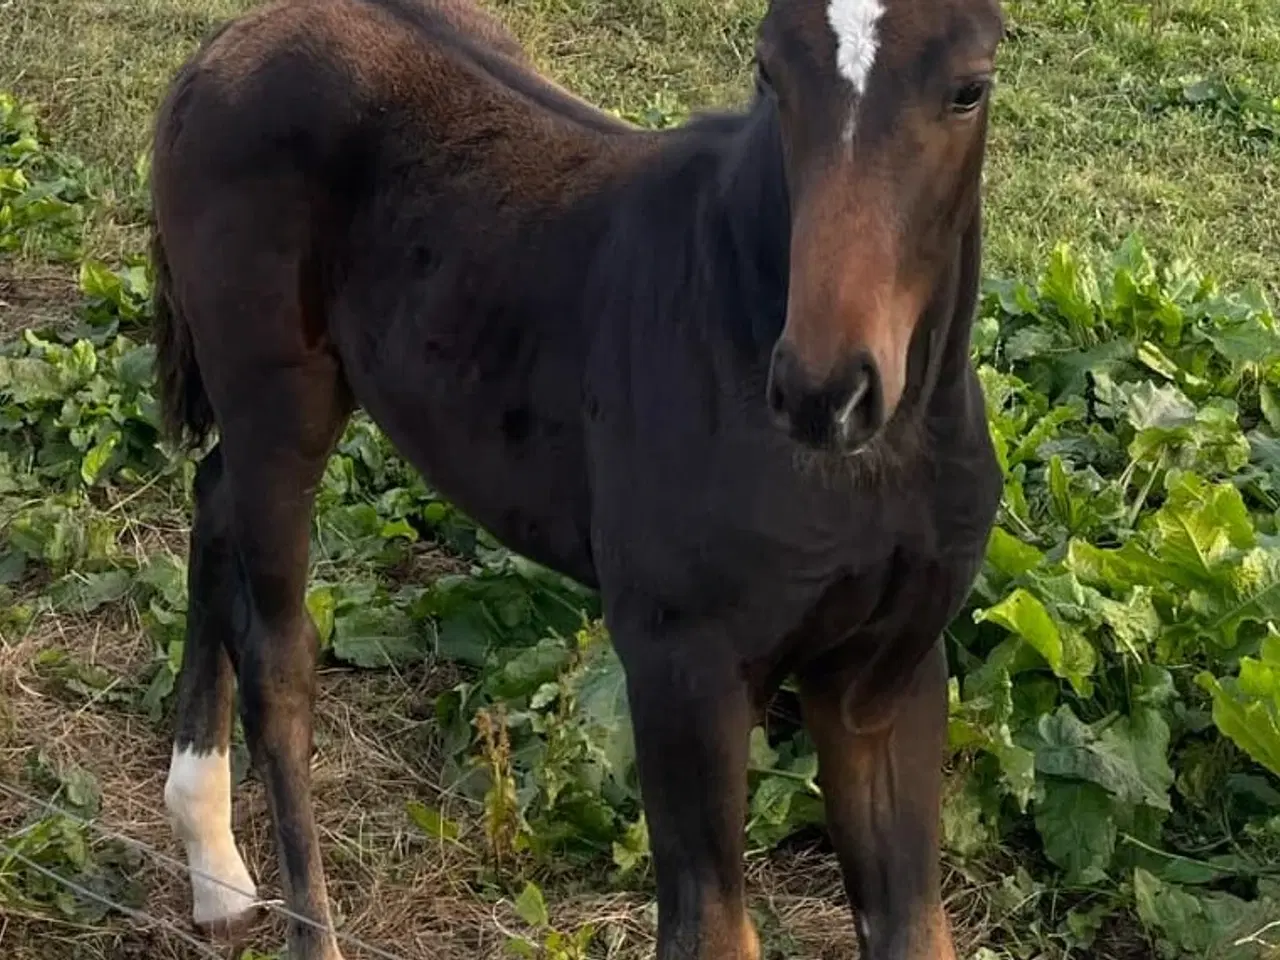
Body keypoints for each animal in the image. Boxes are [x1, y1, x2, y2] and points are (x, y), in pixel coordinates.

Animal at [149, 0, 1003, 957]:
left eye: (969, 88)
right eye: (770, 72)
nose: (825, 390)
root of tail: (224, 47)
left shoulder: (885, 678)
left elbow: (915, 928)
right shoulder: (681, 672)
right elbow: (711, 930)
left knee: (213, 502)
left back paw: (214, 867)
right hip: (278, 409)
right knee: (278, 656)